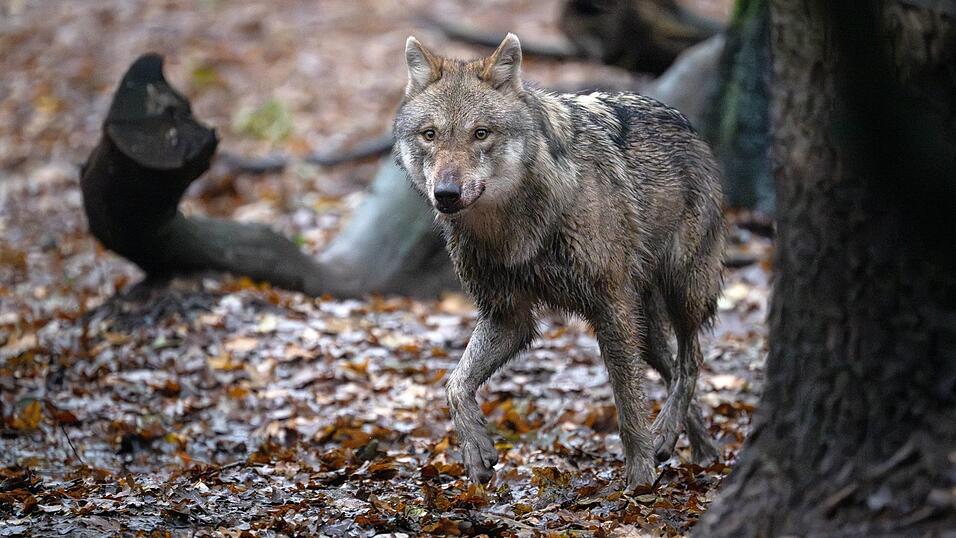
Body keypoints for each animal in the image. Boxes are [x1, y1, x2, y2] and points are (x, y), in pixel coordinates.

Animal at [393, 33, 725, 487]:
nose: (446, 194)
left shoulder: (610, 306)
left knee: (692, 361)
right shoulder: (507, 316)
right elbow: (454, 384)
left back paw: (666, 437)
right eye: (430, 134)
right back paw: (696, 447)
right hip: (646, 329)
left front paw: (639, 477)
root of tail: (690, 127)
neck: (512, 229)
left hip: (682, 291)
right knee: (674, 368)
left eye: (480, 133)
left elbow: (627, 404)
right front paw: (476, 450)